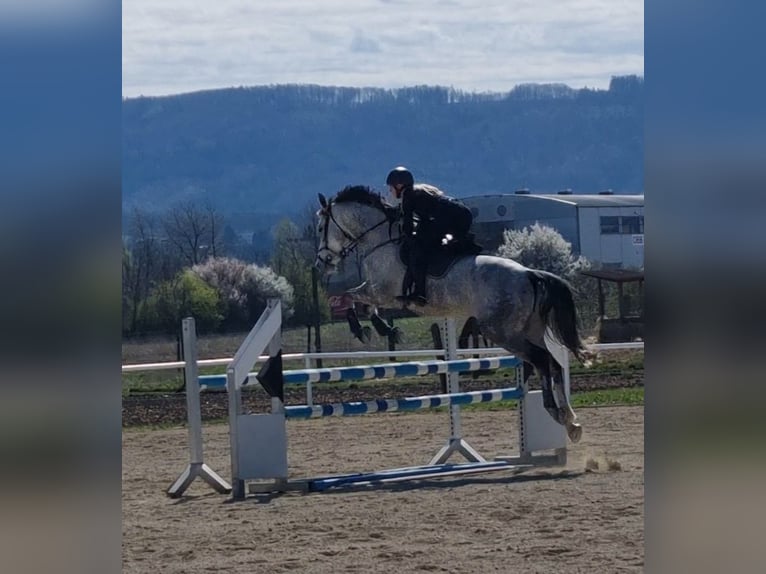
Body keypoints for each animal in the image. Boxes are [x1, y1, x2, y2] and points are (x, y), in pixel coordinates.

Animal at [316, 187, 596, 444]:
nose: (321, 263)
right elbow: (356, 302)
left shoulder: (381, 292)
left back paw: (556, 412)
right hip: (530, 329)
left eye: (320, 227)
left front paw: (368, 329)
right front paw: (383, 329)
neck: (380, 241)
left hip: (502, 332)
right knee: (553, 363)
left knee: (541, 360)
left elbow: (349, 298)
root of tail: (529, 273)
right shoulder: (378, 293)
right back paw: (571, 422)